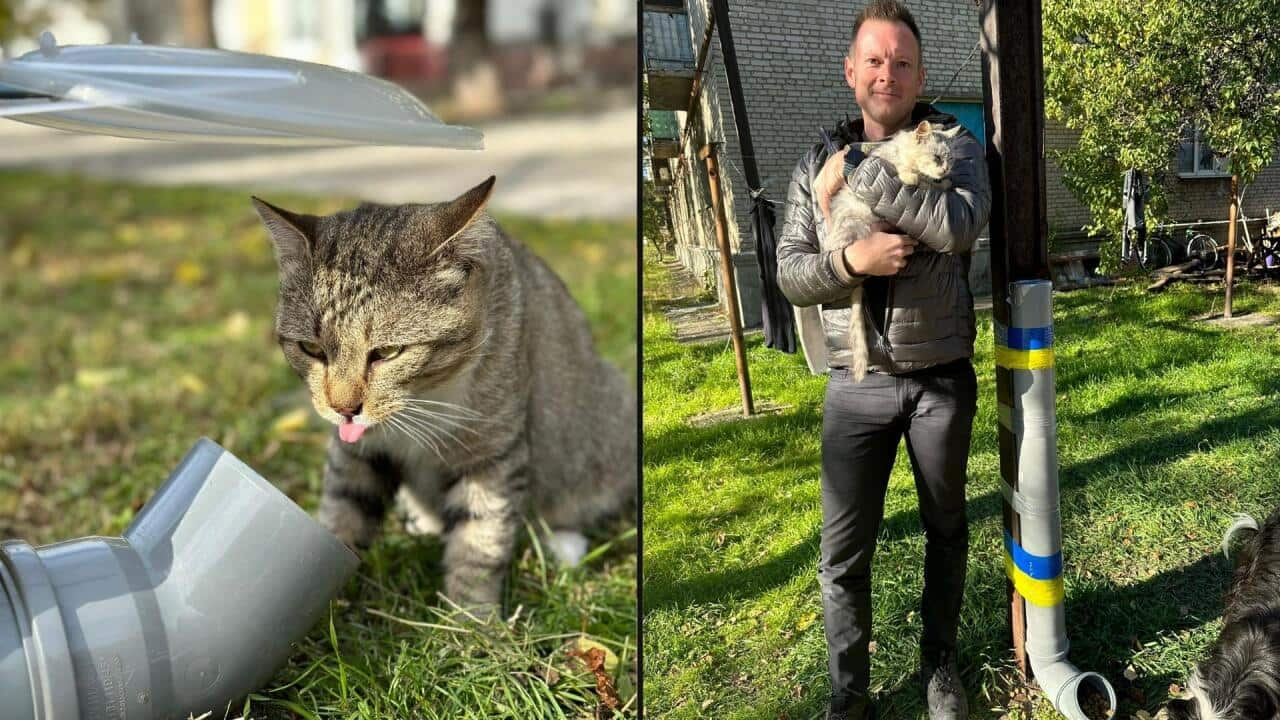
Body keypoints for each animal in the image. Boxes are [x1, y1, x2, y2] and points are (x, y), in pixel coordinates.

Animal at [249, 175, 634, 609]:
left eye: (387, 352)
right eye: (311, 349)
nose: (343, 408)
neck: (421, 401)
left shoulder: (491, 451)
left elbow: (479, 536)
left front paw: (472, 618)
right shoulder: (359, 450)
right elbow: (345, 506)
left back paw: (564, 544)